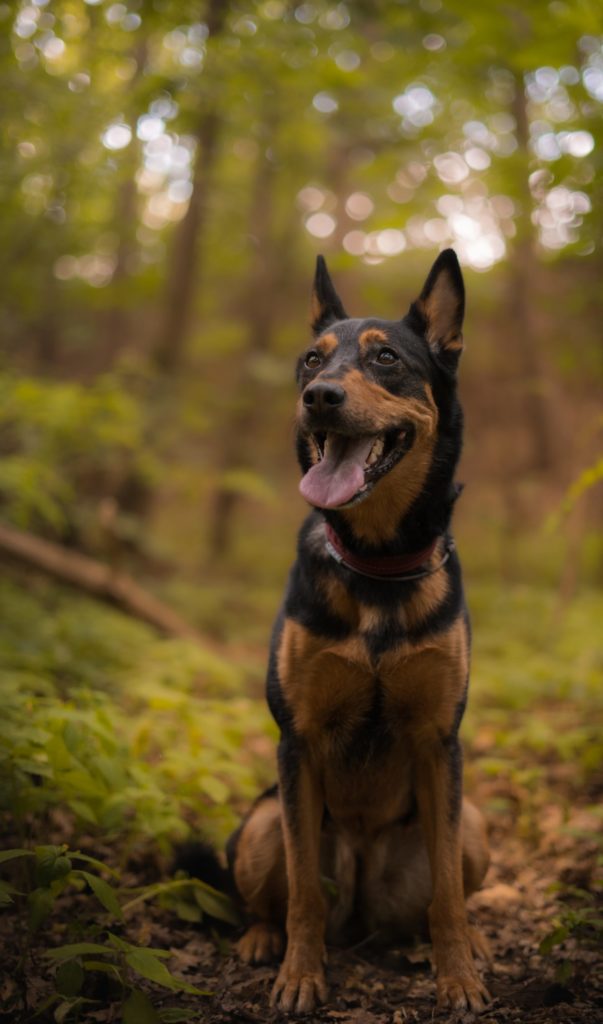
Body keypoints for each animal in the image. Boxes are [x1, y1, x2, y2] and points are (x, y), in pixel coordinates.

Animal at [225, 251, 489, 1011]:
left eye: (386, 359)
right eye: (310, 360)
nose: (318, 396)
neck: (377, 563)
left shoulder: (437, 741)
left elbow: (447, 898)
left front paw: (458, 977)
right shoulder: (299, 741)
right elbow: (304, 895)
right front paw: (299, 976)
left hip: (471, 822)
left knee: (445, 893)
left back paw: (467, 944)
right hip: (262, 822)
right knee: (275, 894)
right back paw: (261, 939)